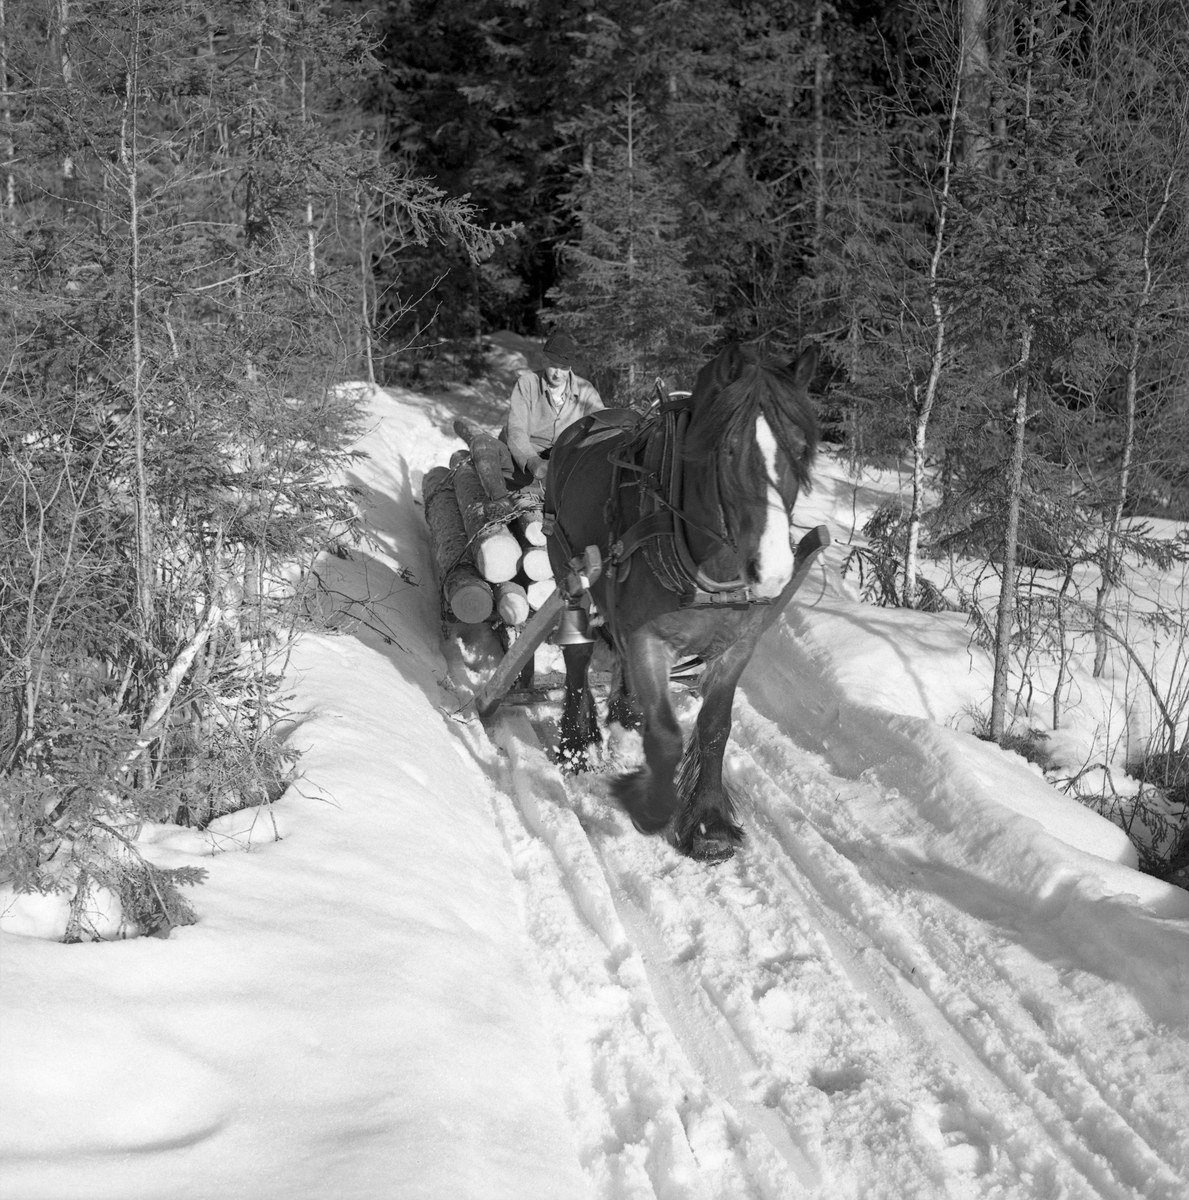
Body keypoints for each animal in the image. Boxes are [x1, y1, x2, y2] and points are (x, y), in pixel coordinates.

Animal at [547, 343, 815, 859]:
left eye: (800, 450)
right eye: (728, 449)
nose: (772, 571)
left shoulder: (737, 647)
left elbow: (714, 728)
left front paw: (709, 822)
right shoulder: (648, 639)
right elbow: (668, 735)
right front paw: (647, 804)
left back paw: (625, 714)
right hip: (568, 568)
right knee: (578, 657)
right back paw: (576, 744)